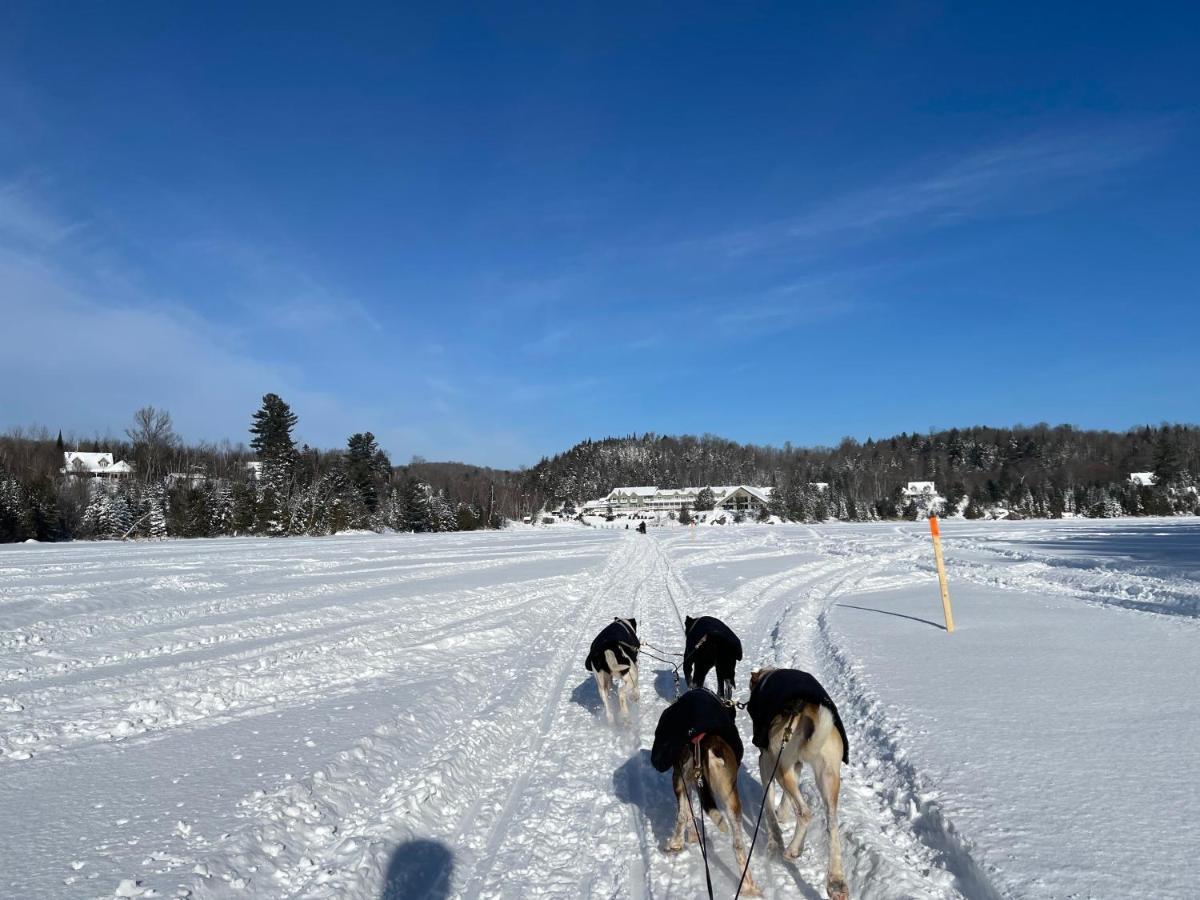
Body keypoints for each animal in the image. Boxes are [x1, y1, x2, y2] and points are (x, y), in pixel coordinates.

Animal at [652, 691, 763, 897]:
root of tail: (701, 744)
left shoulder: (682, 781)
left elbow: (686, 814)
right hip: (730, 798)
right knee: (737, 844)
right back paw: (748, 886)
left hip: (680, 780)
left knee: (681, 815)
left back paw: (675, 843)